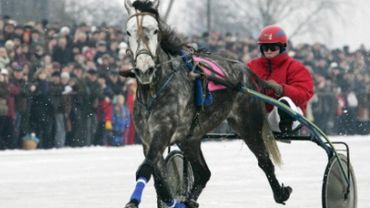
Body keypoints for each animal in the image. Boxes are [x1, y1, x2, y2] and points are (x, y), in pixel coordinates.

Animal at [123, 0, 292, 207]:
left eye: (155, 30)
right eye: (128, 32)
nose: (144, 69)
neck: (153, 90)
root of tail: (245, 69)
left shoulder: (163, 130)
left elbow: (146, 167)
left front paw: (135, 200)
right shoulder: (147, 138)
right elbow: (159, 177)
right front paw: (170, 199)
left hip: (247, 124)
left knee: (264, 160)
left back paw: (281, 193)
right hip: (190, 138)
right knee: (203, 173)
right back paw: (188, 201)